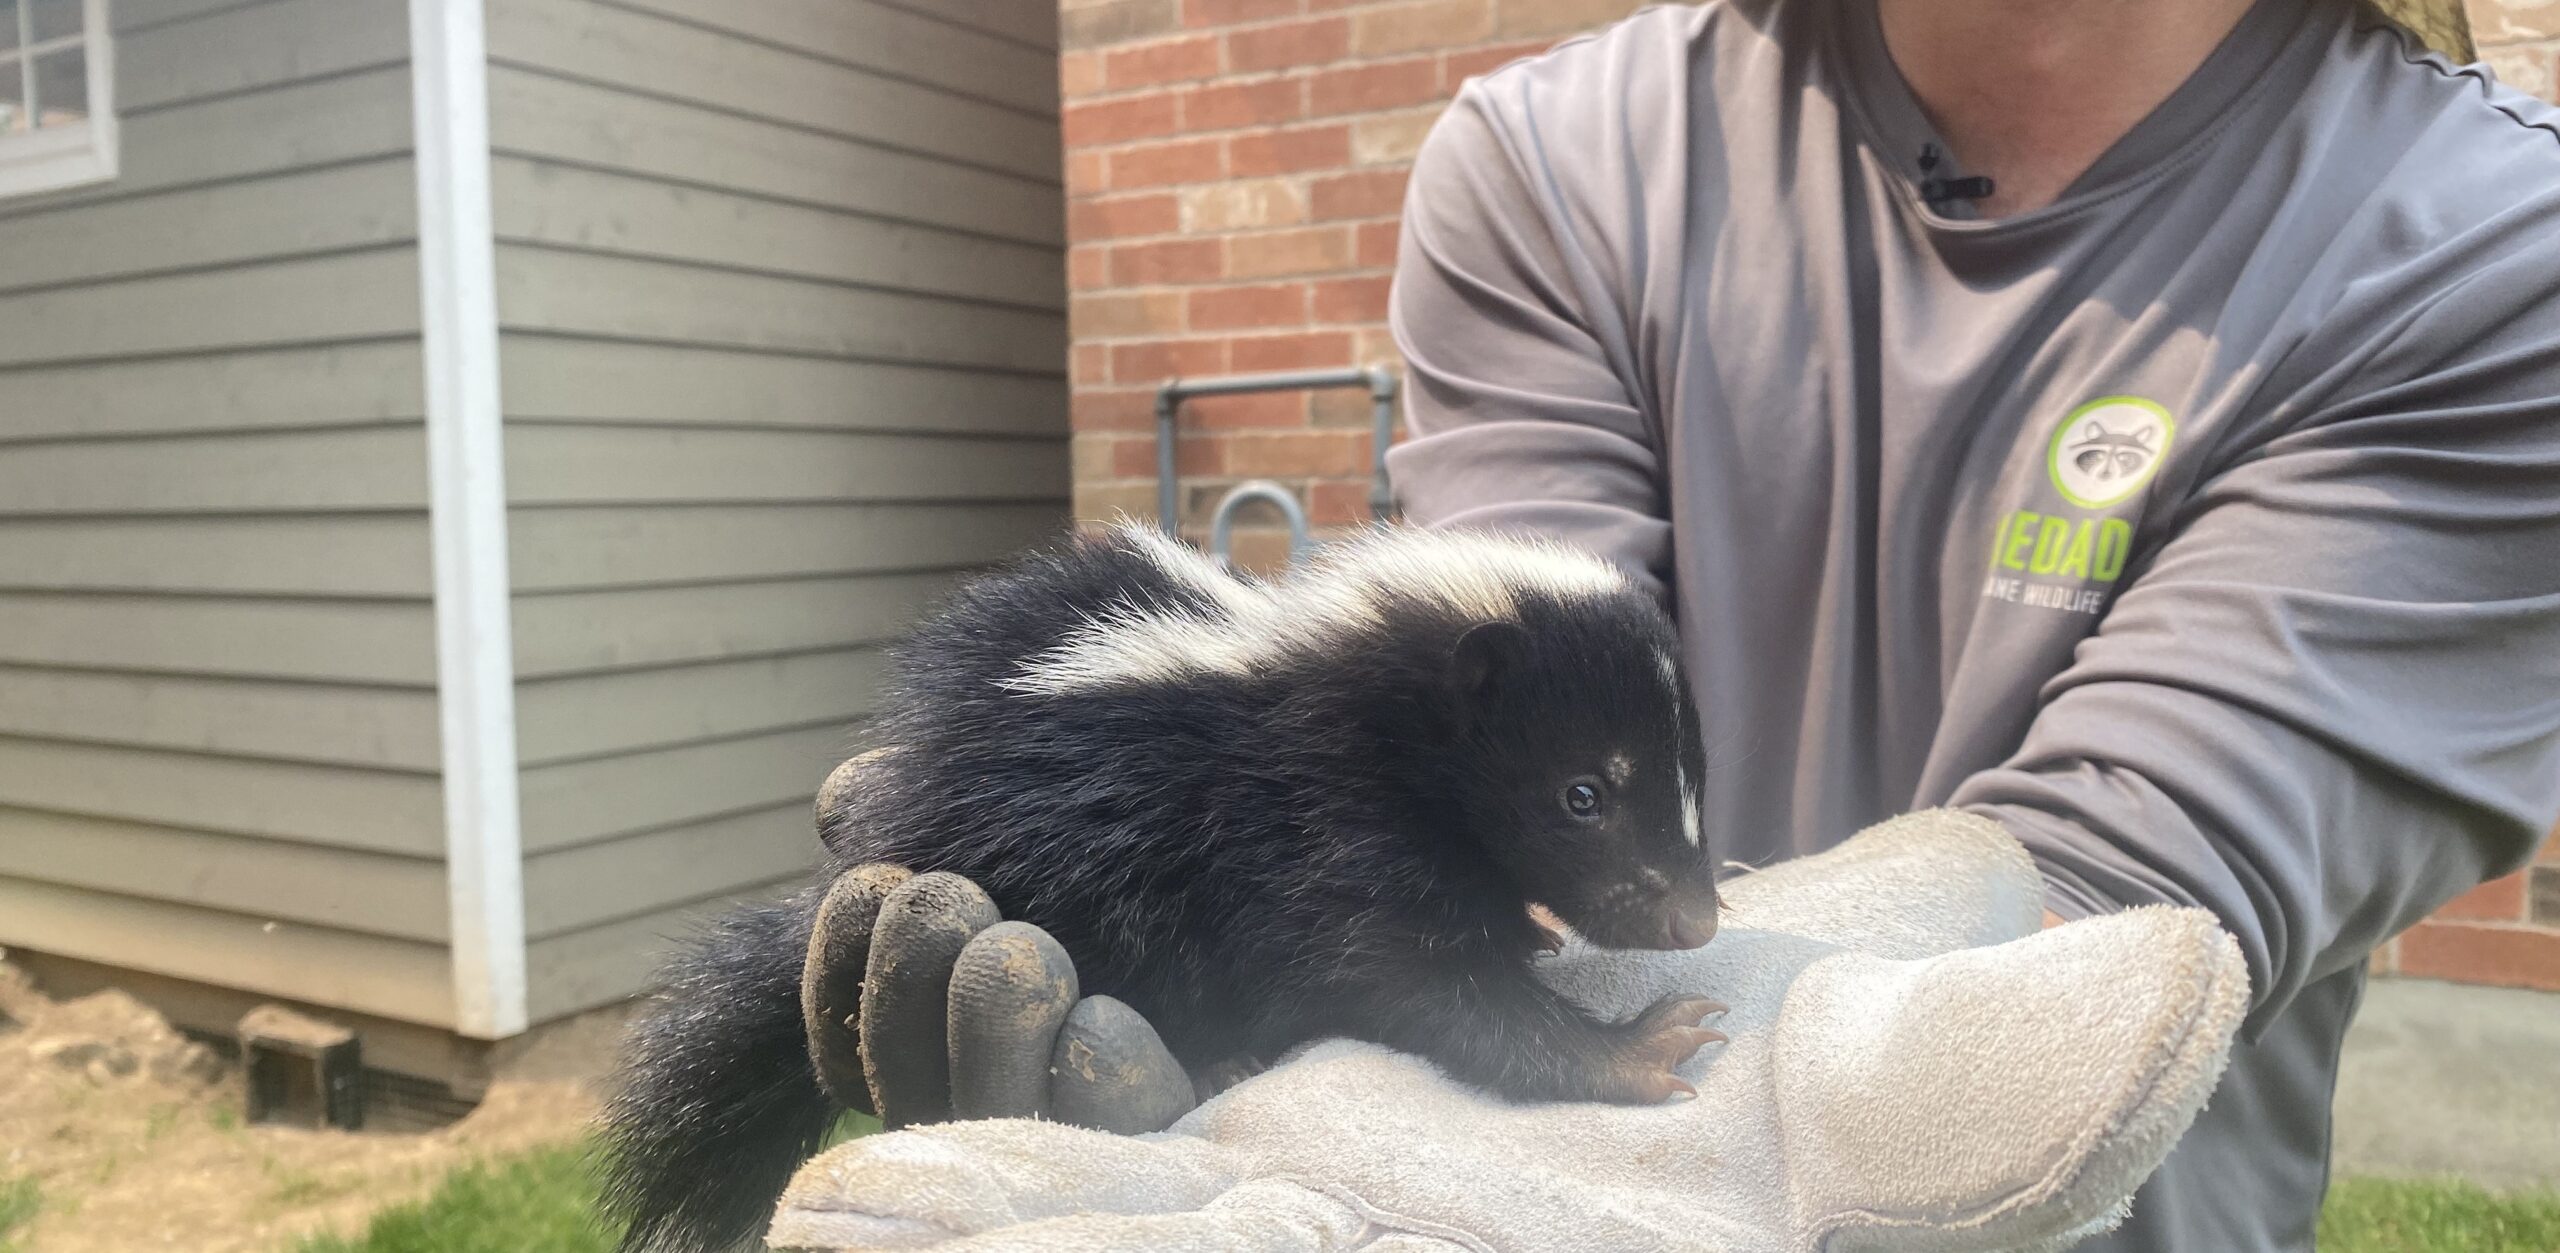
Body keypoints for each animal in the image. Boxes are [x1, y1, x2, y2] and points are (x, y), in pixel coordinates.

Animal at [599, 522, 1720, 1245]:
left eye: (1692, 781)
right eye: (1583, 792)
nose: (1695, 916)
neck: (1368, 704)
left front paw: (1535, 941)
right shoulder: (1310, 824)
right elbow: (1416, 978)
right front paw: (1634, 1048)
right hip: (1076, 866)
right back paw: (1218, 1053)